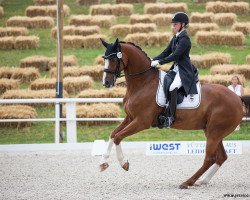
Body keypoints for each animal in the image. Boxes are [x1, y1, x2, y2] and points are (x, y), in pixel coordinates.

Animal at [99, 38, 248, 189]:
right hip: (214, 132)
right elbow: (113, 134)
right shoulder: (130, 117)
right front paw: (103, 163)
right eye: (105, 58)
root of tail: (237, 98)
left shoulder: (141, 121)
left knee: (209, 158)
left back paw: (187, 182)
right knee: (221, 157)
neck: (143, 83)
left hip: (214, 133)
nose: (106, 82)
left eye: (113, 59)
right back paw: (202, 181)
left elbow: (118, 137)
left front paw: (124, 163)